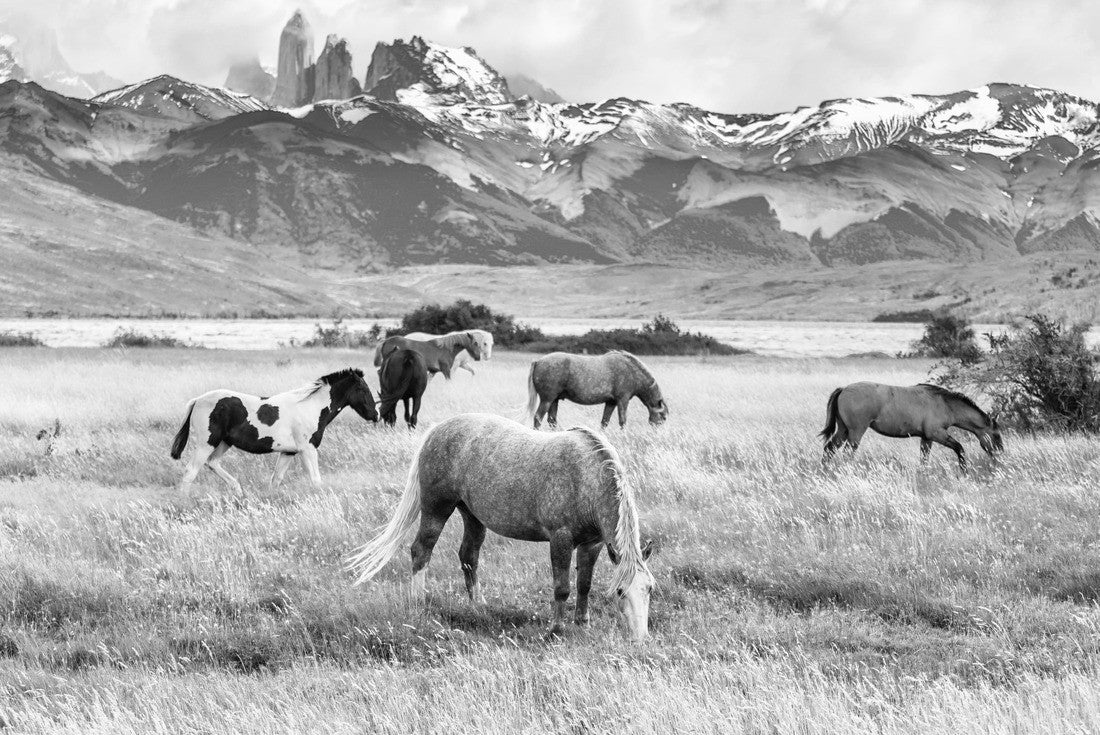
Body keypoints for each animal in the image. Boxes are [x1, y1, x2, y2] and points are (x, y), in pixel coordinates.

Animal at [169, 368, 379, 494]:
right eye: (363, 389)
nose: (375, 415)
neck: (310, 408)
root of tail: (197, 400)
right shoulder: (307, 449)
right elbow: (316, 480)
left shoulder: (288, 452)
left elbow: (276, 480)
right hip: (207, 443)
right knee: (191, 471)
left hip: (223, 443)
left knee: (212, 463)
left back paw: (238, 490)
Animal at [347, 413, 656, 642]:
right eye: (621, 592)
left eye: (650, 588)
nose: (641, 639)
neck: (586, 477)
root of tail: (437, 431)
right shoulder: (561, 540)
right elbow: (562, 588)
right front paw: (556, 630)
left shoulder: (592, 543)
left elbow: (584, 585)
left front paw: (582, 623)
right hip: (437, 509)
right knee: (421, 551)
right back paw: (417, 604)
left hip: (472, 516)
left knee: (468, 556)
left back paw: (478, 606)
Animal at [526, 351, 669, 430]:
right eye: (663, 417)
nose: (655, 434)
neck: (631, 371)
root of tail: (538, 361)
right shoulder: (623, 400)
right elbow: (622, 421)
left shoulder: (611, 402)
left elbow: (604, 422)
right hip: (547, 400)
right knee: (538, 418)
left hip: (554, 400)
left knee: (552, 421)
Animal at [819, 382, 1003, 469]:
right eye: (996, 435)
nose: (1000, 454)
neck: (944, 403)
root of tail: (844, 389)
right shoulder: (937, 434)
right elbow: (960, 449)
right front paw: (964, 471)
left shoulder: (927, 438)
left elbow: (924, 459)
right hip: (856, 432)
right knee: (847, 453)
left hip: (843, 430)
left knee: (830, 448)